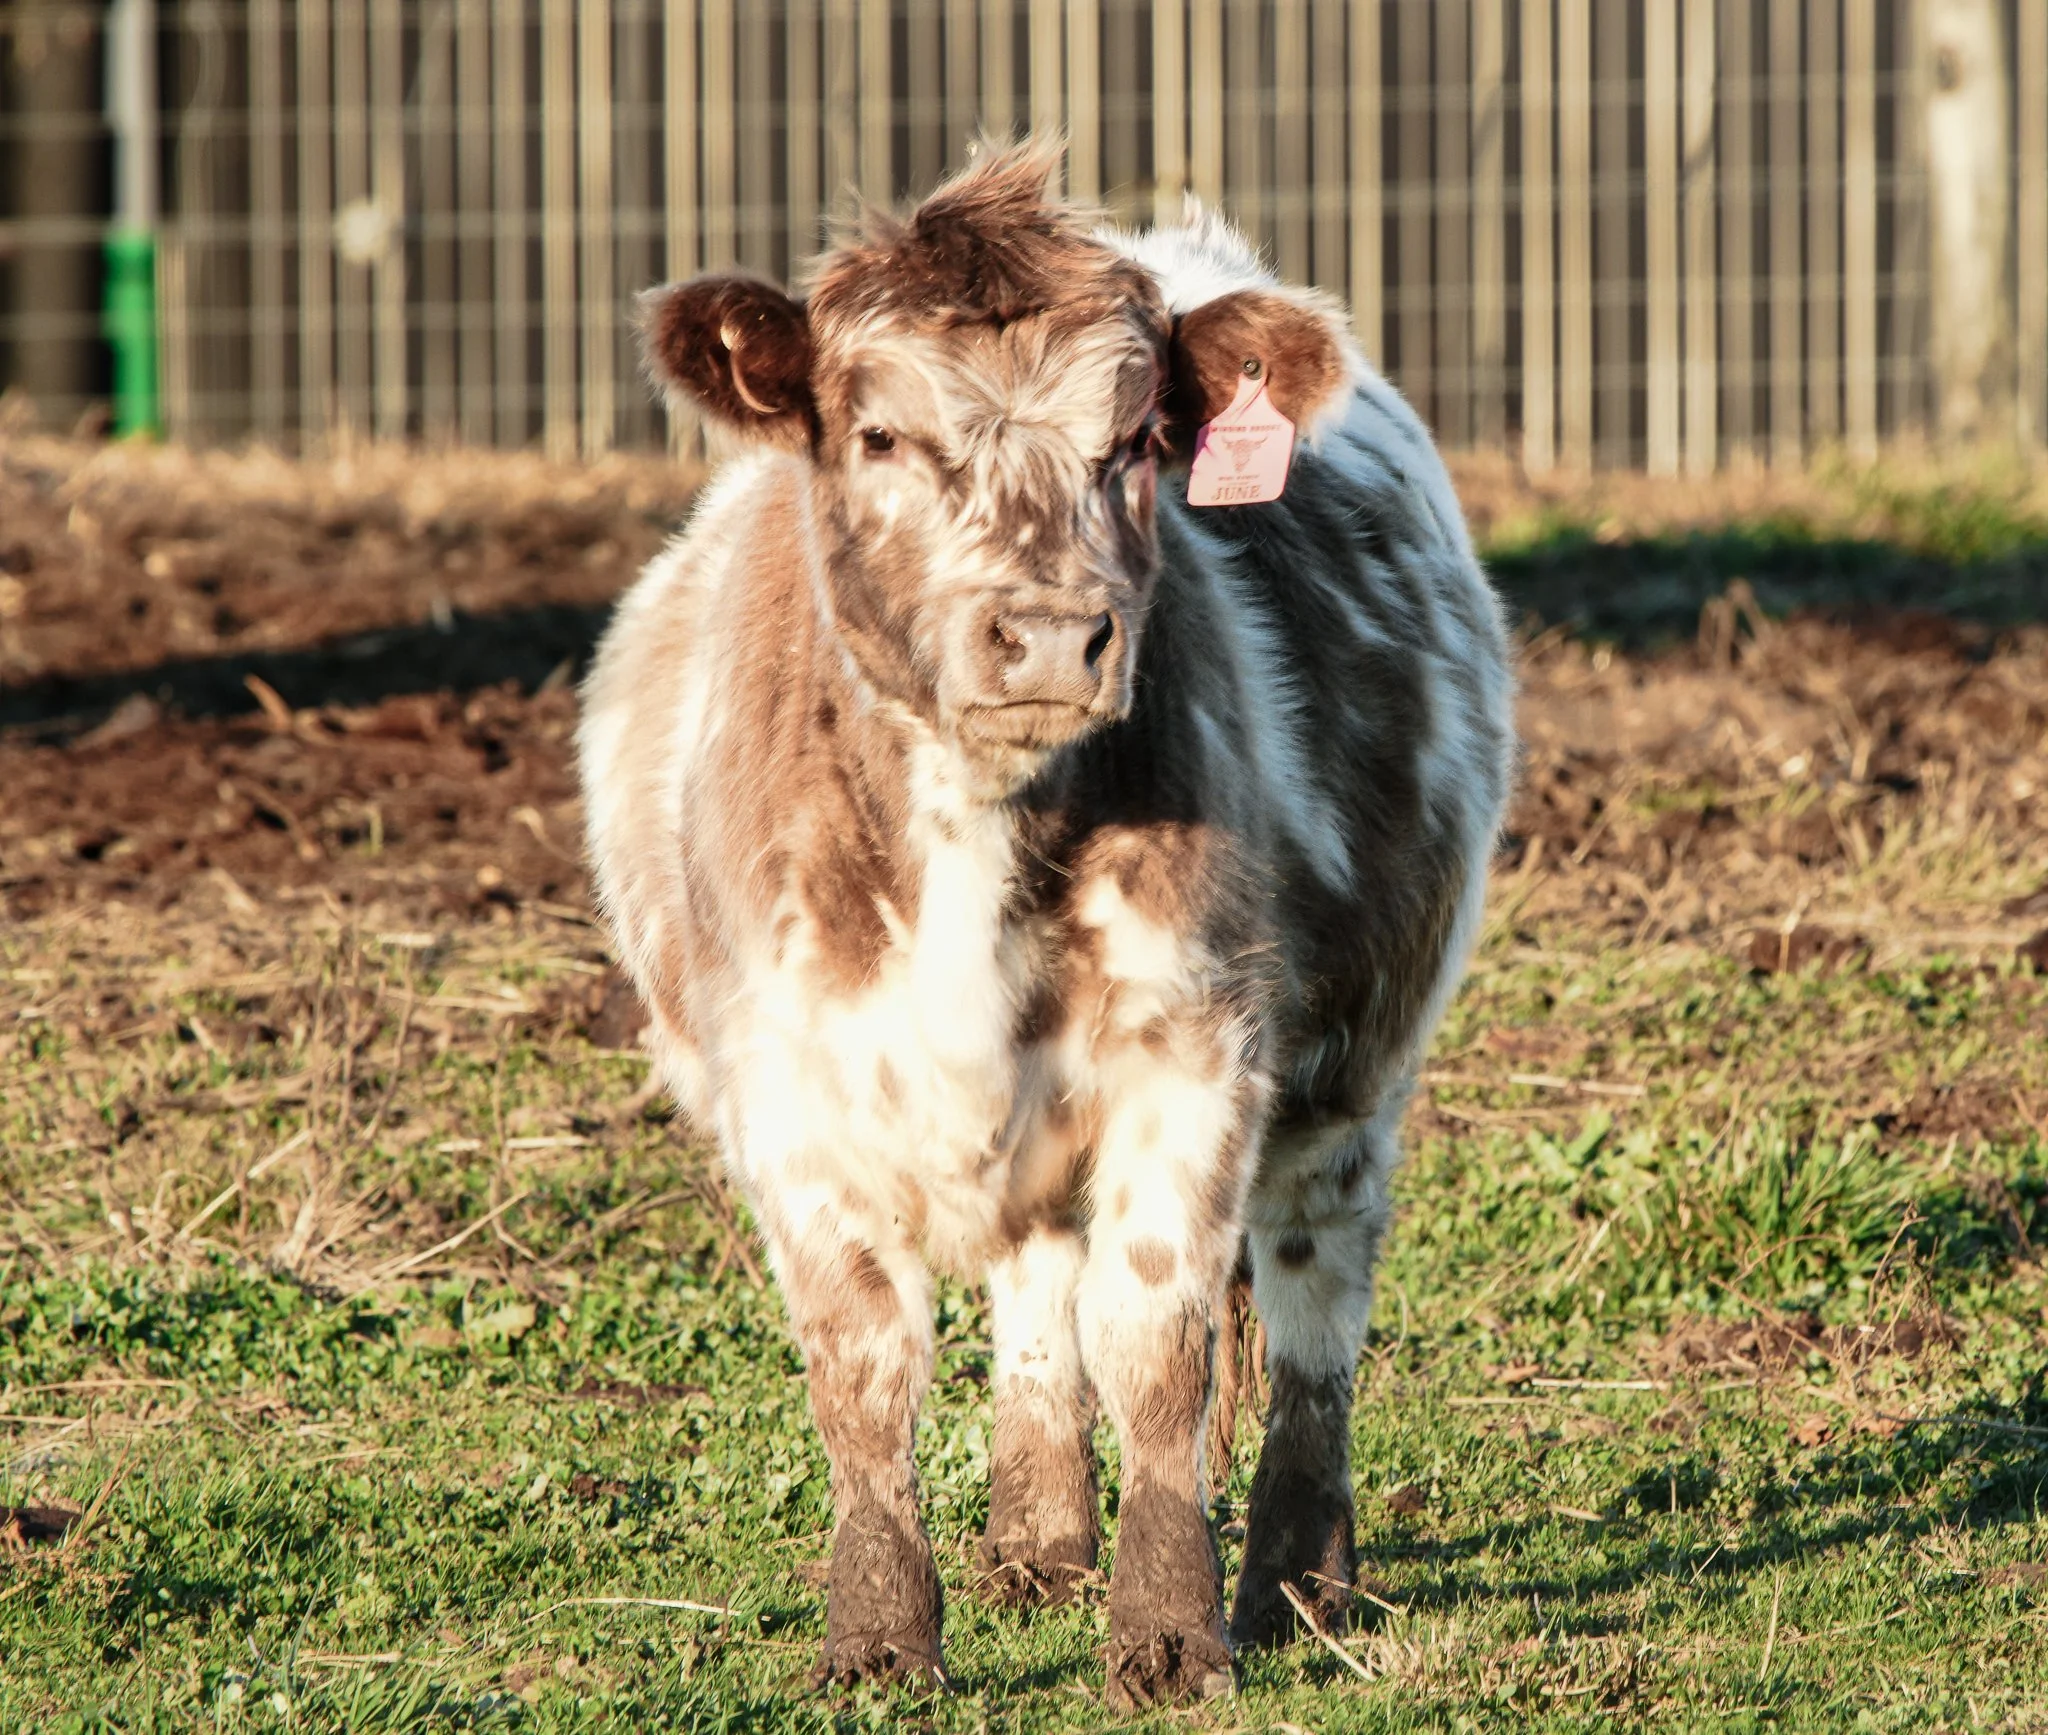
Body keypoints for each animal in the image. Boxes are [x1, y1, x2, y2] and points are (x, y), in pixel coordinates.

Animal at [577, 140, 1514, 1709]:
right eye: (879, 434)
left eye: (1135, 441)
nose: (1052, 633)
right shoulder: (788, 1087)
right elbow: (864, 1366)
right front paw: (881, 1633)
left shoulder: (1193, 1050)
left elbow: (1156, 1341)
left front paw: (1171, 1630)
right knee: (1035, 1282)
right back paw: (1035, 1537)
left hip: (1358, 1060)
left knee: (1312, 1298)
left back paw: (1299, 1579)